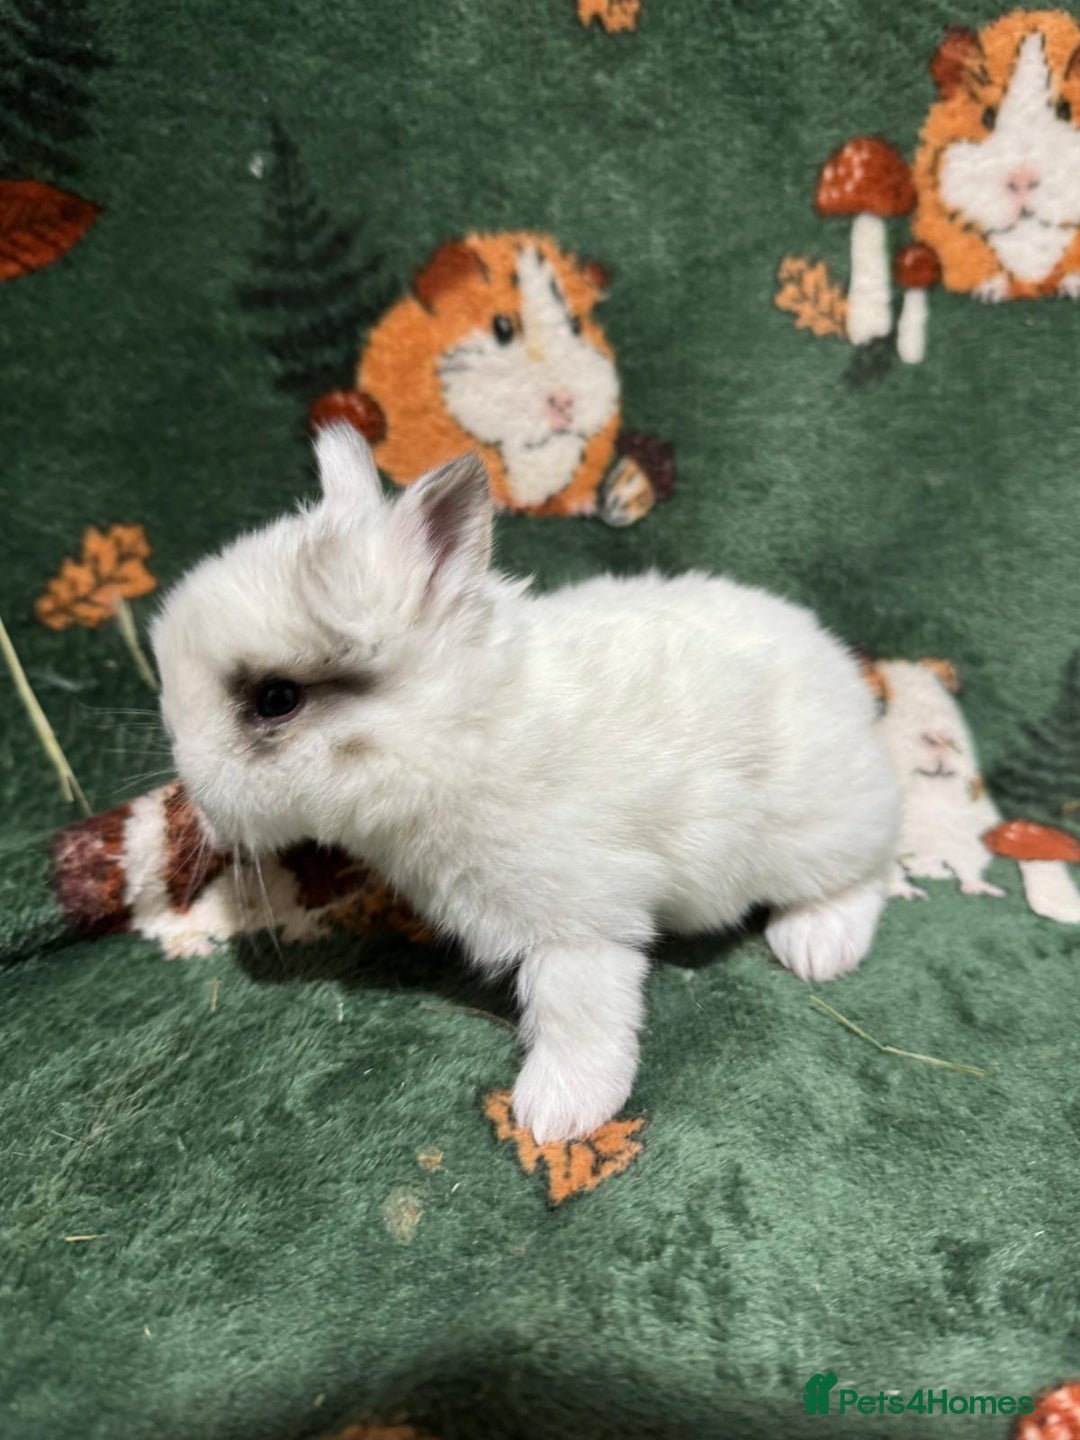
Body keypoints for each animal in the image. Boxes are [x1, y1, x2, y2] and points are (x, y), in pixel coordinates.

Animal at [151, 427, 901, 1142]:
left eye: (276, 699)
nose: (192, 787)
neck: (460, 734)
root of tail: (850, 688)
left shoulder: (579, 926)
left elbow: (579, 1015)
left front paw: (555, 1115)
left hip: (816, 834)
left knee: (869, 873)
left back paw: (817, 948)